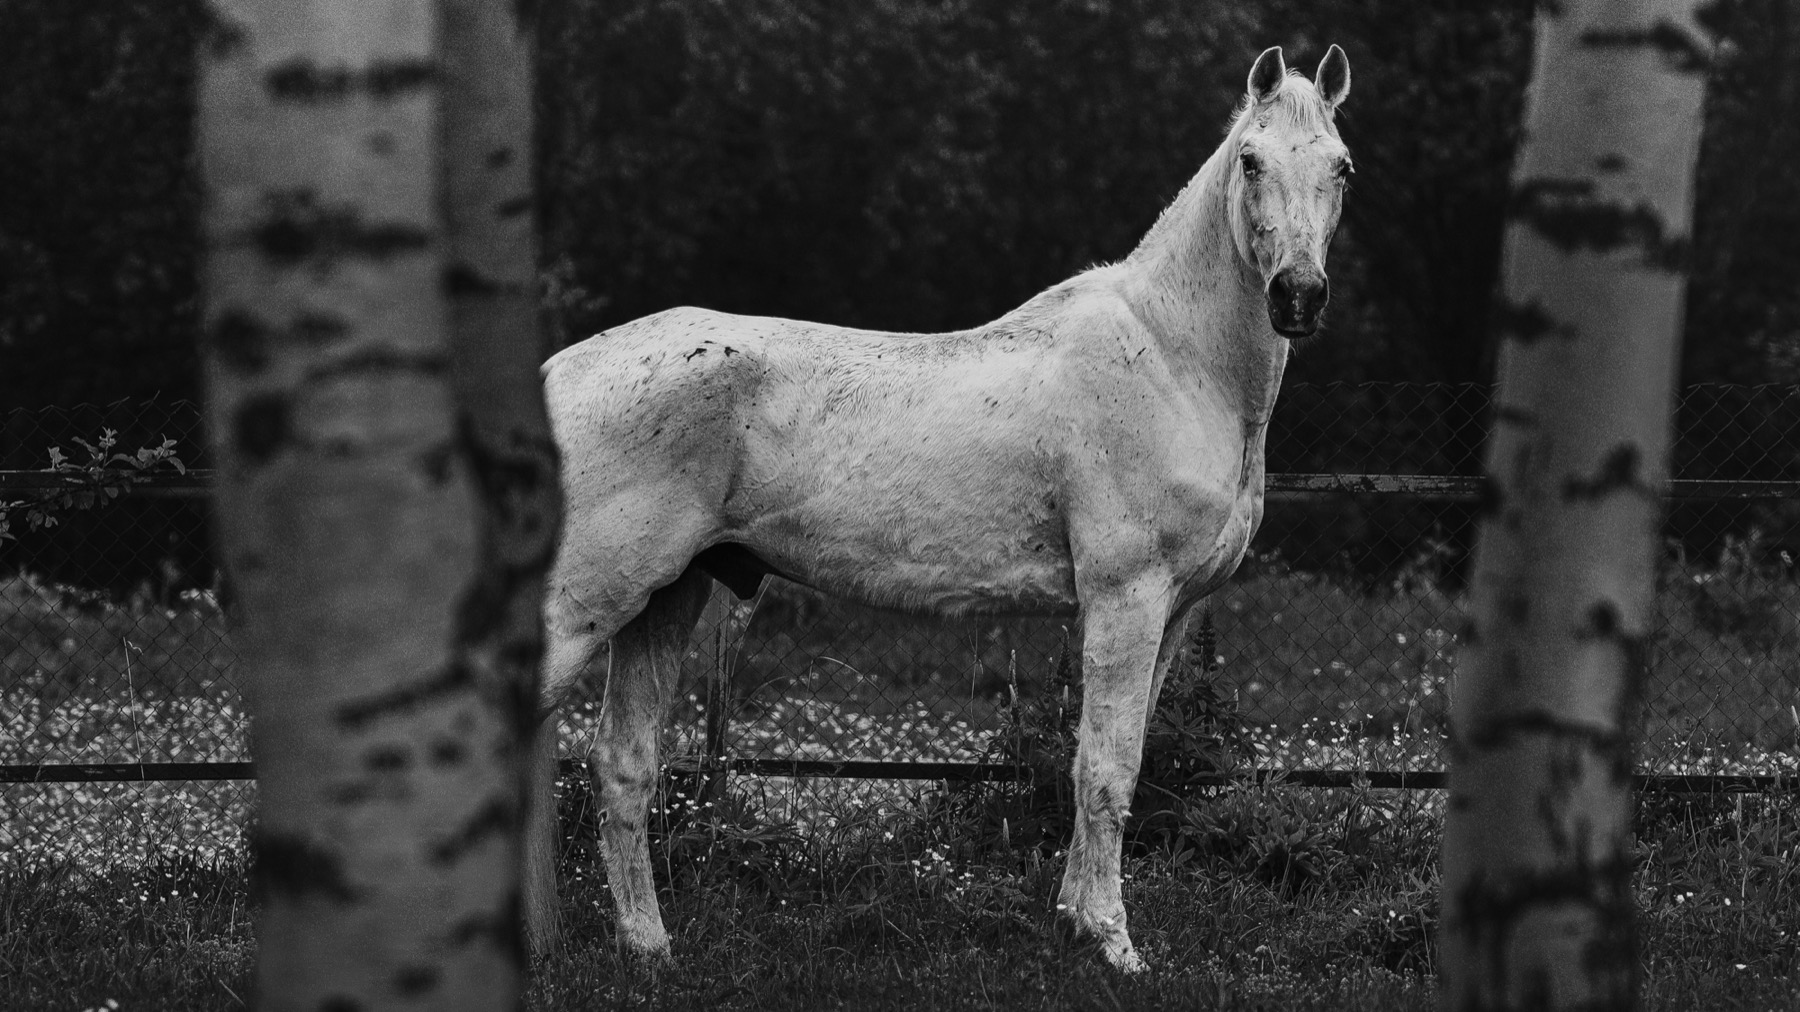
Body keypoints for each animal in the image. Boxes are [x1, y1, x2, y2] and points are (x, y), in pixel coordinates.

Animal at [524, 44, 1353, 973]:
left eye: (1341, 167)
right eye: (1251, 160)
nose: (1298, 296)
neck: (1175, 357)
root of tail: (561, 372)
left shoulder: (1172, 615)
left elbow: (1111, 760)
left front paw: (1074, 920)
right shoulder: (1125, 597)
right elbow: (1106, 770)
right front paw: (1114, 943)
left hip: (668, 598)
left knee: (622, 765)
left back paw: (649, 947)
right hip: (592, 602)